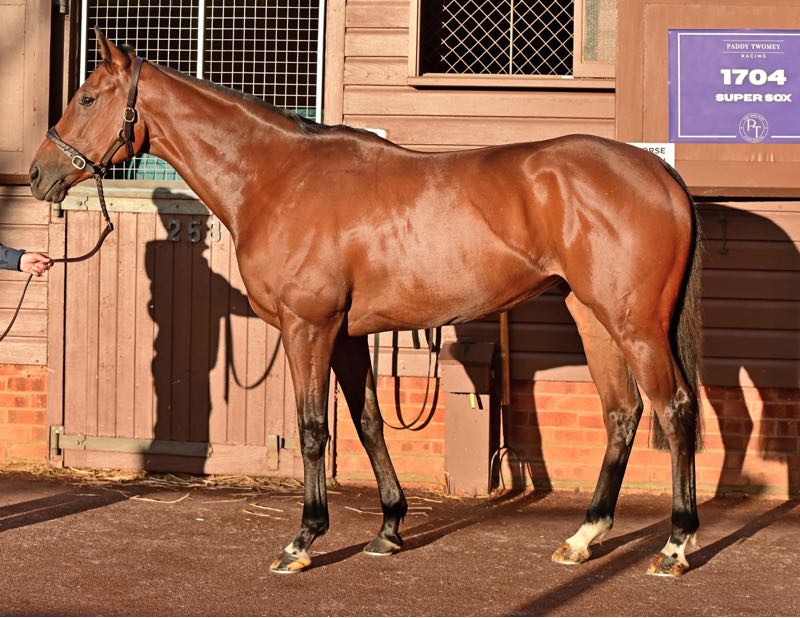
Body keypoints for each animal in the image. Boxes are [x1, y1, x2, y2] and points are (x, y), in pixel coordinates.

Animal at [29, 29, 703, 577]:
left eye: (87, 98)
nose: (38, 175)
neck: (278, 177)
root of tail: (659, 174)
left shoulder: (308, 327)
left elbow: (313, 429)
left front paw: (303, 541)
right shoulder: (349, 335)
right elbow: (369, 421)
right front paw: (389, 529)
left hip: (635, 325)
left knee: (674, 409)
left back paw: (674, 546)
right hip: (593, 318)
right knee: (622, 413)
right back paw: (584, 538)